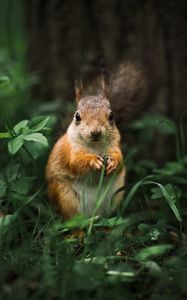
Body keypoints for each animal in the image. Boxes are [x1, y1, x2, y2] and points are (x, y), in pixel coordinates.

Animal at [45, 77, 126, 220]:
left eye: (111, 116)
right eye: (77, 116)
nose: (95, 132)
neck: (95, 146)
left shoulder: (115, 146)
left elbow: (120, 157)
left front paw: (113, 162)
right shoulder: (70, 150)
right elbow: (75, 163)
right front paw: (93, 161)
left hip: (116, 195)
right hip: (65, 196)